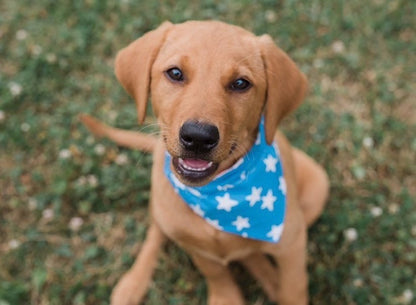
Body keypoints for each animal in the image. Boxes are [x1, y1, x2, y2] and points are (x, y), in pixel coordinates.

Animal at [80, 20, 328, 302]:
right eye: (175, 73)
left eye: (240, 83)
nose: (198, 137)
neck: (219, 194)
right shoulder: (196, 247)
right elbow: (216, 273)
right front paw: (226, 296)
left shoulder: (292, 244)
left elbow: (293, 288)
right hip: (163, 210)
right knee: (156, 232)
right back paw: (133, 283)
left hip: (317, 185)